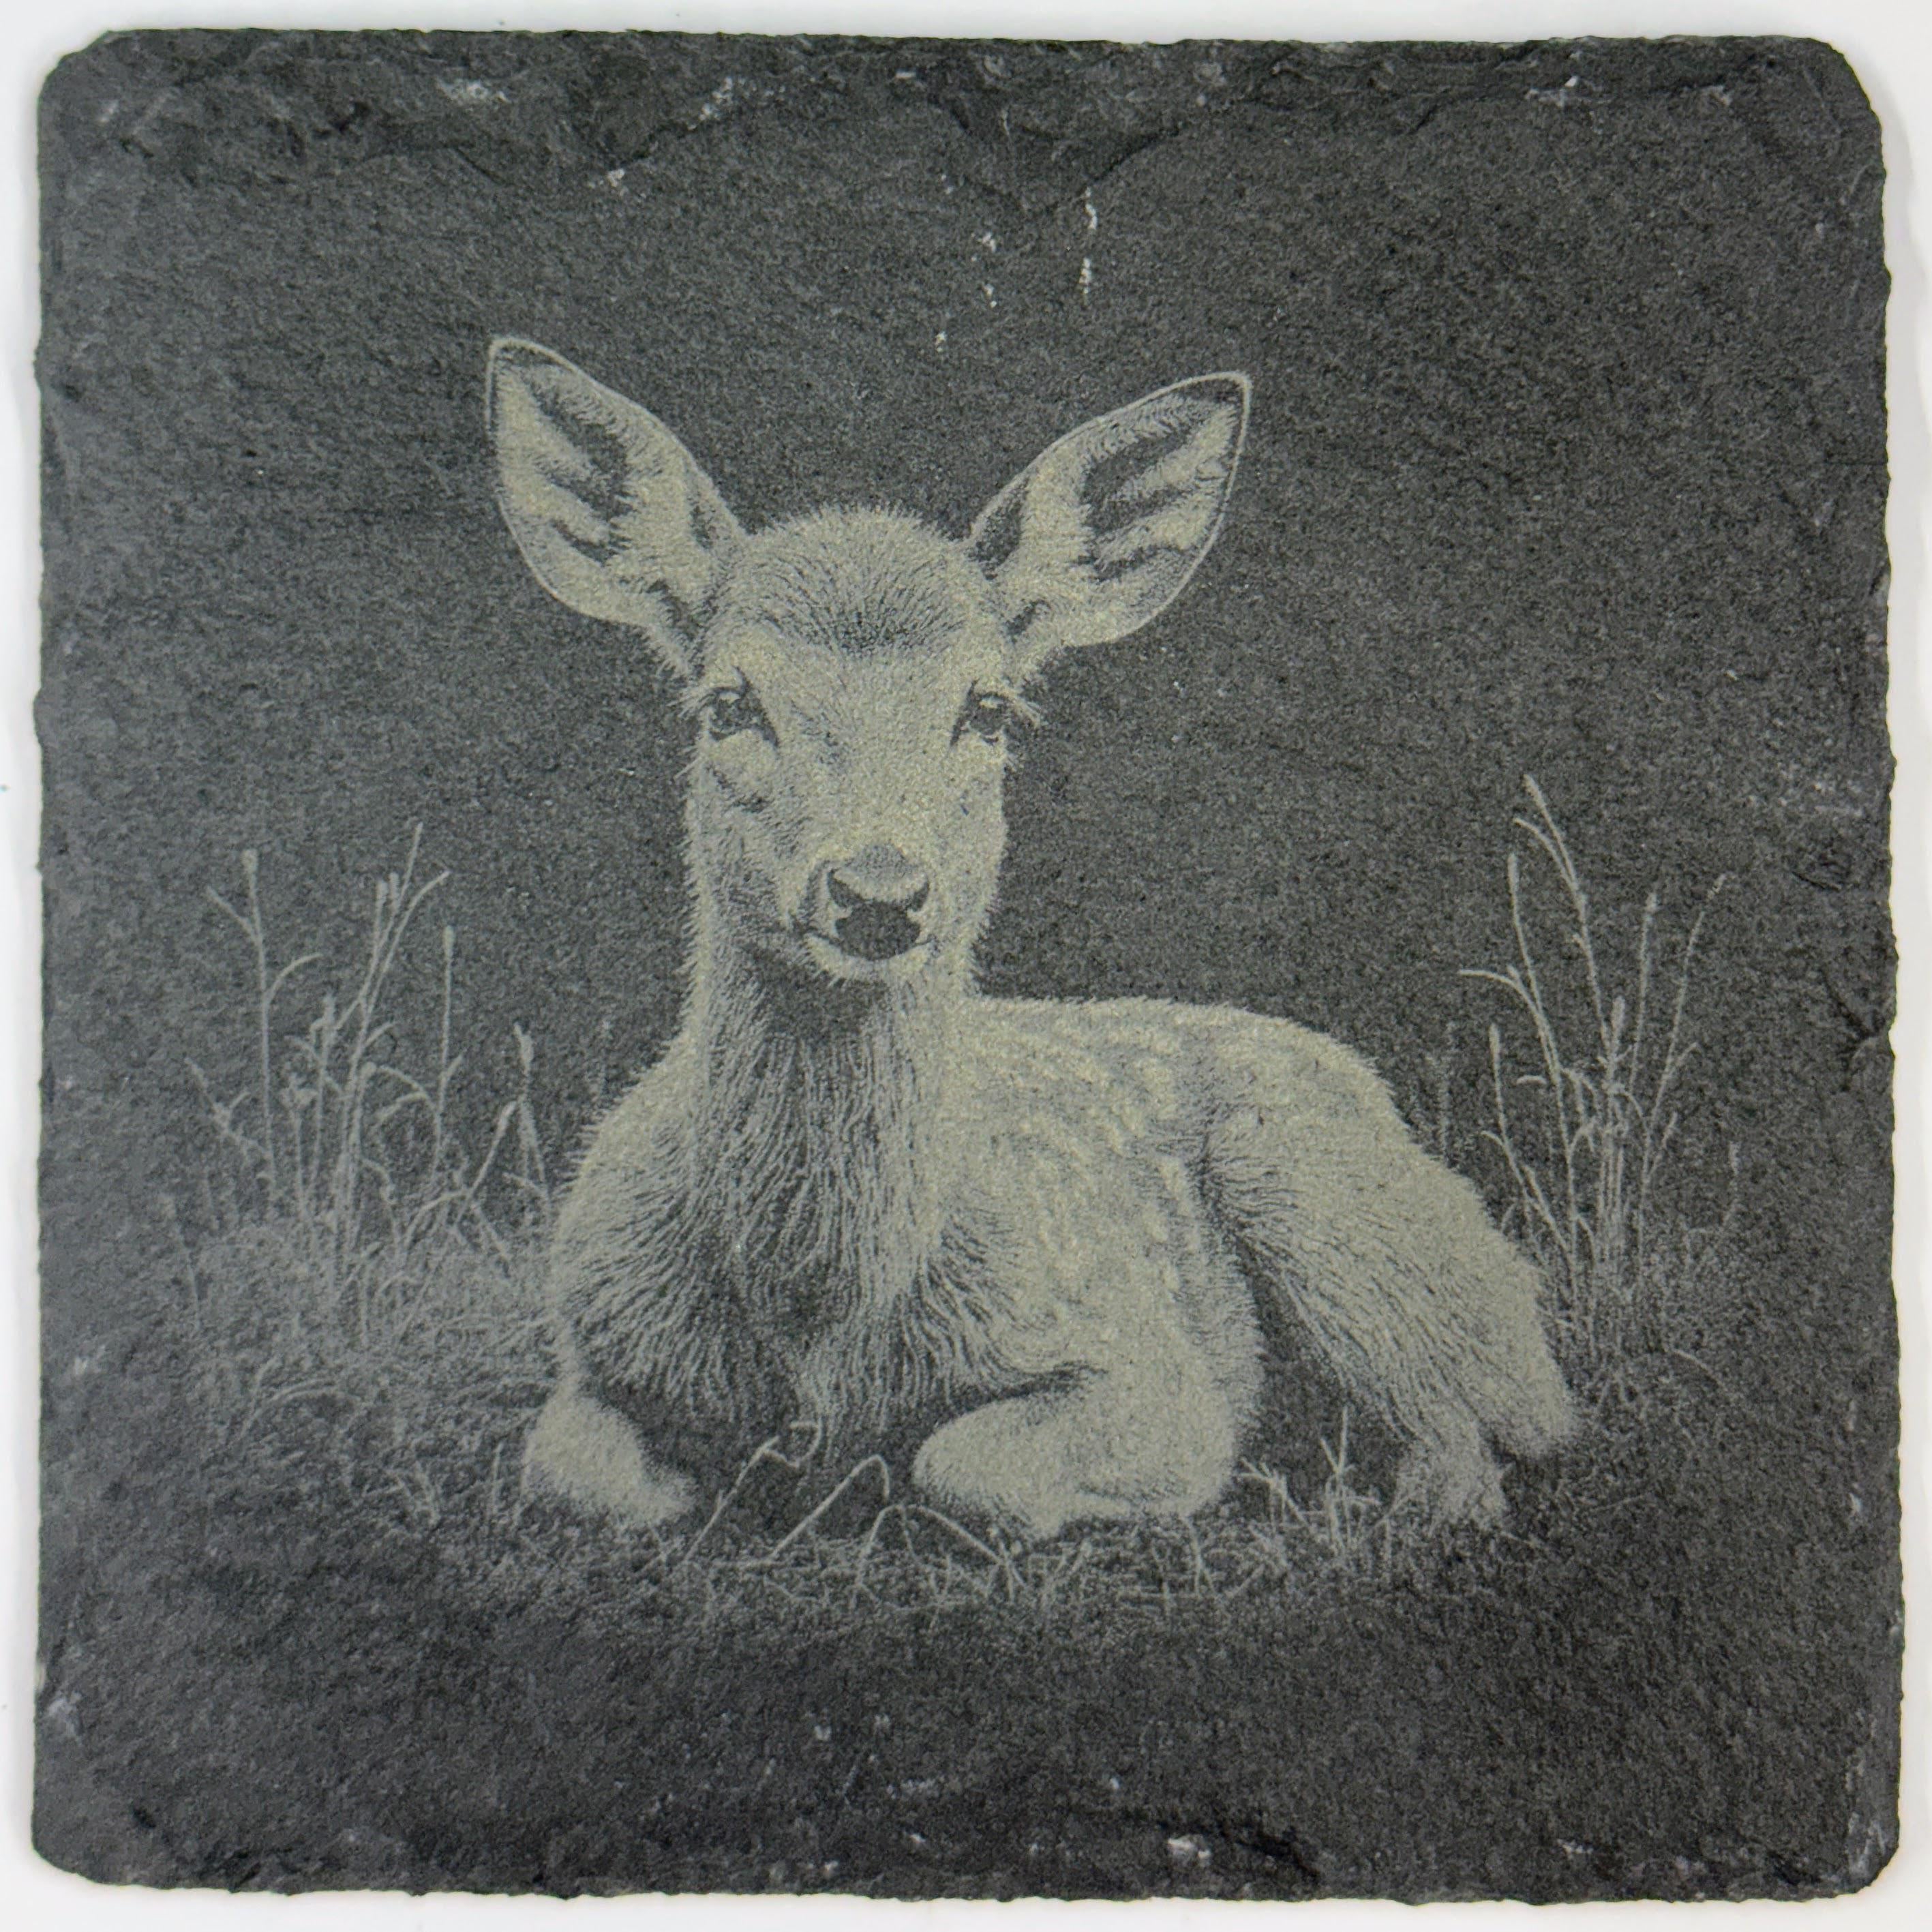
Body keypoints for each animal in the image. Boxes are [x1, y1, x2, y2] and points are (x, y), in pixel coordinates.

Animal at [487, 338, 1577, 1542]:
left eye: (988, 708)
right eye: (729, 702)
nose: (877, 891)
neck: (818, 1320)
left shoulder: (1147, 1366)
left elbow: (970, 1465)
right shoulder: (593, 1339)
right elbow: (572, 1469)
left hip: (1338, 1208)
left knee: (1492, 1433)